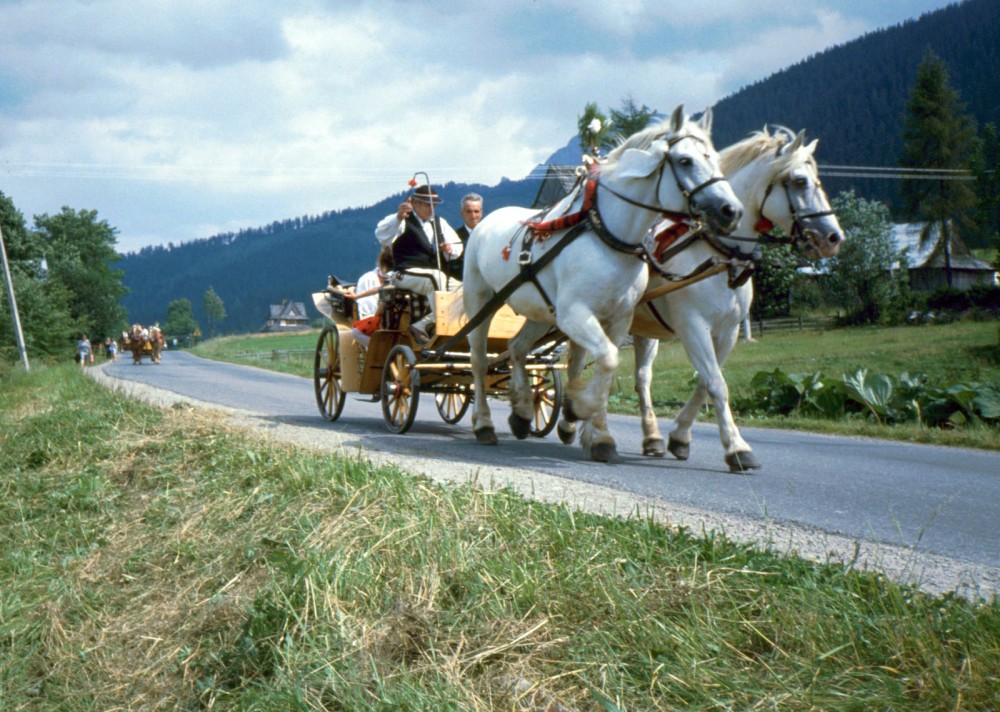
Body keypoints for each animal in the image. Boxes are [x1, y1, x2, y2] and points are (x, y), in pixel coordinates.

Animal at [460, 105, 744, 462]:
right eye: (685, 161)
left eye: (715, 158)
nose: (731, 211)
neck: (606, 234)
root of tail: (484, 223)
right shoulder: (575, 315)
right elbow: (607, 360)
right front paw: (580, 410)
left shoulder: (618, 318)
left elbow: (606, 368)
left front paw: (596, 432)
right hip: (481, 302)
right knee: (479, 361)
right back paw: (484, 424)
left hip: (540, 314)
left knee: (517, 348)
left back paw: (522, 413)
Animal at [628, 128, 848, 472]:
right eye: (800, 181)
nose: (834, 238)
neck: (715, 252)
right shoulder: (693, 327)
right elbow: (717, 384)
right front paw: (738, 448)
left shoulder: (728, 331)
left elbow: (706, 382)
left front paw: (680, 437)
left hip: (643, 329)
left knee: (641, 378)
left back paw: (651, 437)